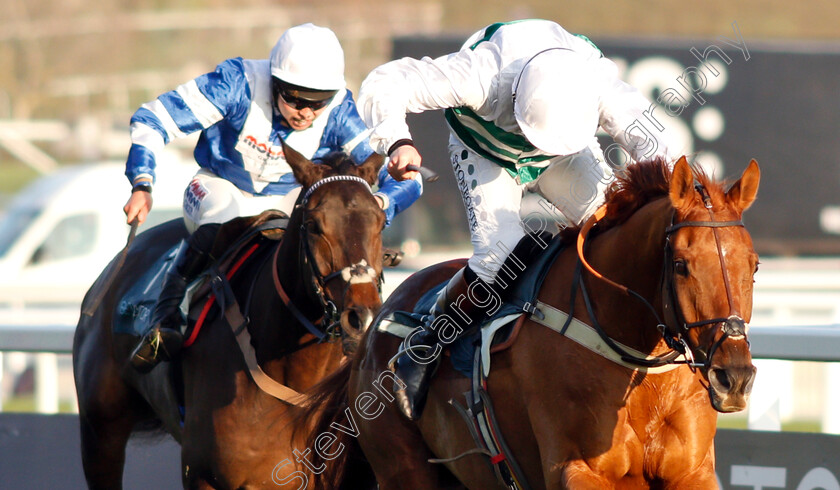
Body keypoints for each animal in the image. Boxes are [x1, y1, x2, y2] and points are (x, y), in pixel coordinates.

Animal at [304, 158, 760, 490]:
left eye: (753, 267)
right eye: (681, 265)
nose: (734, 377)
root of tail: (376, 324)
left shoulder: (691, 472)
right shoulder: (579, 470)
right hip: (405, 470)